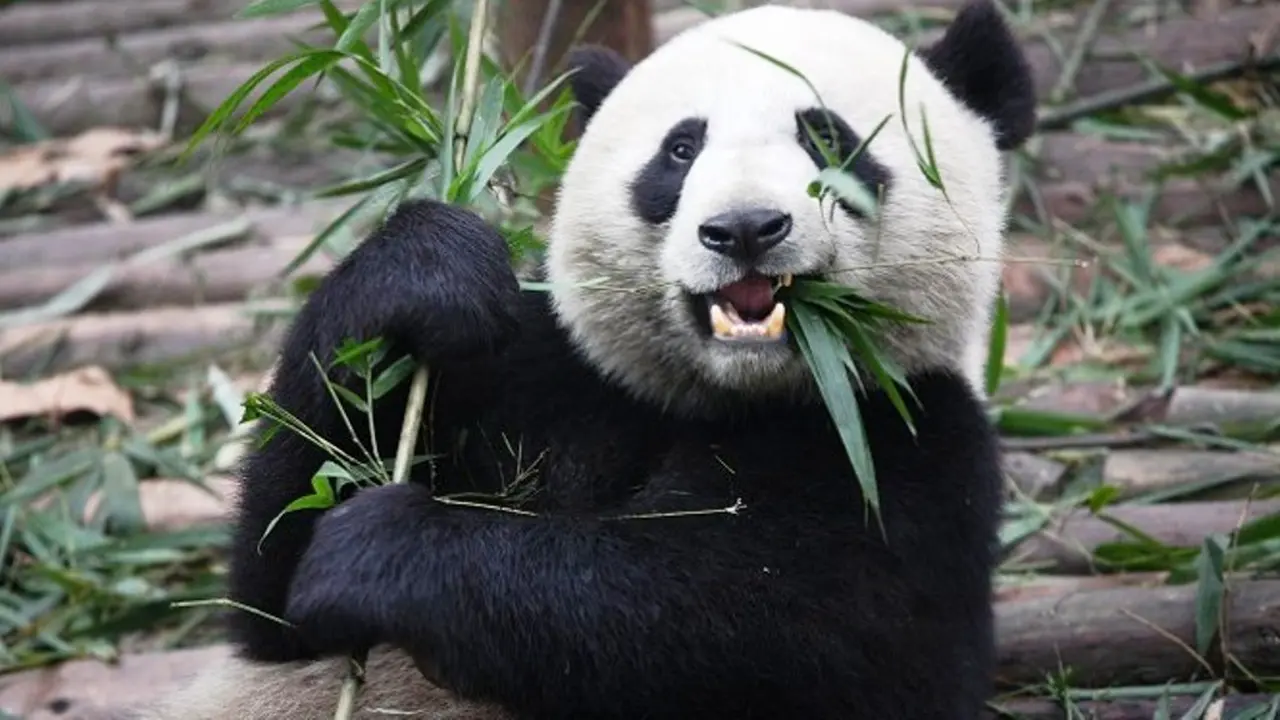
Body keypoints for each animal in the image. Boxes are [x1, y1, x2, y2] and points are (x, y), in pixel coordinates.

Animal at [129, 1, 1035, 718]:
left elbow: (718, 615)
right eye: (681, 150)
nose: (744, 228)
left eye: (827, 138)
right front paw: (425, 273)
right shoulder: (545, 367)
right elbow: (274, 595)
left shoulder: (909, 453)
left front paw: (381, 549)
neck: (721, 396)